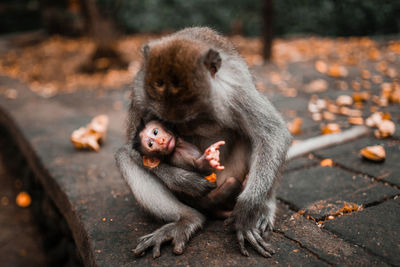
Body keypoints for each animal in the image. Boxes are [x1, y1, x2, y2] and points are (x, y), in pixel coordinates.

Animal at [115, 26, 290, 258]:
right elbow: (132, 148)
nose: (163, 138)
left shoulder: (236, 92)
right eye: (165, 122)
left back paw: (262, 209)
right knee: (124, 157)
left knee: (256, 138)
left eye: (189, 120)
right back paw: (188, 219)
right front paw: (186, 181)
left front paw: (246, 210)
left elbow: (273, 133)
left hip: (232, 174)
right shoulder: (140, 93)